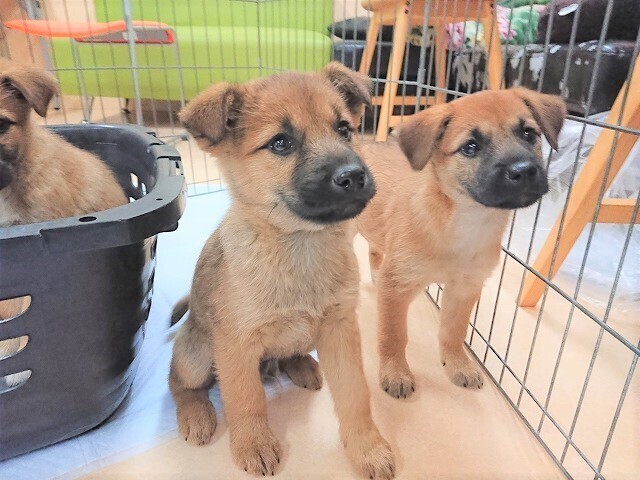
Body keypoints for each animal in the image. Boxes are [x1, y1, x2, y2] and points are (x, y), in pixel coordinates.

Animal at [168, 62, 395, 479]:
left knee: (290, 353)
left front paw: (367, 448)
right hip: (196, 354)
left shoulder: (340, 330)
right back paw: (197, 414)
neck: (301, 246)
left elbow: (356, 397)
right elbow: (246, 400)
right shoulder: (236, 345)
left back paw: (301, 365)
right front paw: (254, 443)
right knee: (178, 381)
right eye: (280, 143)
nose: (354, 175)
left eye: (344, 129)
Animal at [357, 88, 566, 398]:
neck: (464, 222)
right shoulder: (398, 287)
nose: (524, 170)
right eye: (470, 147)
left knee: (375, 249)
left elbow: (453, 333)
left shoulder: (464, 289)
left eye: (529, 133)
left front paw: (458, 366)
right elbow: (392, 335)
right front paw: (395, 373)